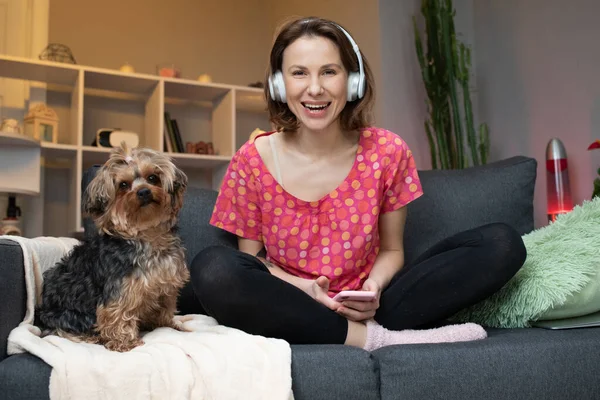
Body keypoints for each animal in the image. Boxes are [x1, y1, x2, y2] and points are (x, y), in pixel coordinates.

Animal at [36, 145, 190, 352]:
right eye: (123, 185)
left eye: (152, 178)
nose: (143, 192)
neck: (148, 236)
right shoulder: (120, 289)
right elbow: (118, 313)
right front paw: (124, 342)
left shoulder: (165, 287)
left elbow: (164, 310)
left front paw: (167, 325)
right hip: (71, 315)